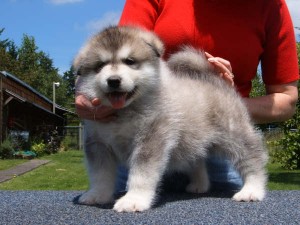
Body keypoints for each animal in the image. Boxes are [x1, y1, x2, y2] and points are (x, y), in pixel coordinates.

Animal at [74, 26, 268, 213]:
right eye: (100, 65)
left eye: (130, 61)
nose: (113, 80)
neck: (124, 111)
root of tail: (212, 78)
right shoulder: (97, 143)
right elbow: (100, 174)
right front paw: (97, 195)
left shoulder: (150, 139)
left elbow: (141, 174)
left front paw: (133, 200)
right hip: (191, 140)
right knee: (197, 160)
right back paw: (199, 185)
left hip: (234, 135)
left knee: (252, 158)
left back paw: (252, 189)